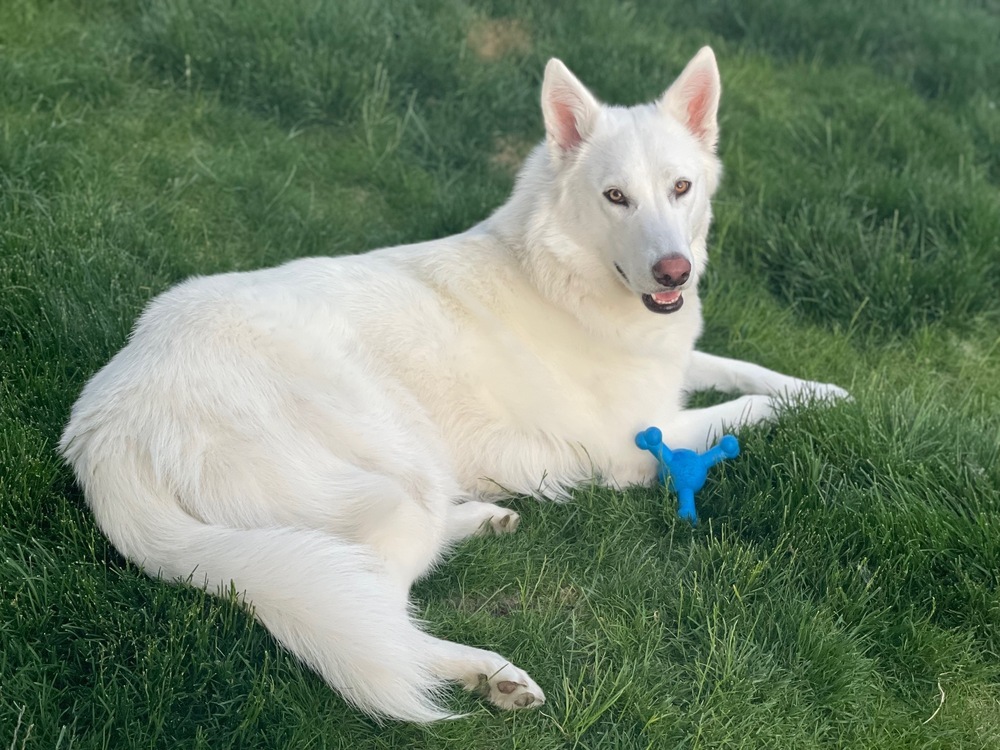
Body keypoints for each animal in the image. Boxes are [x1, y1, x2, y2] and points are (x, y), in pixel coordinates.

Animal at [58, 48, 848, 724]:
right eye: (615, 197)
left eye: (681, 188)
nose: (674, 273)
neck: (559, 274)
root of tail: (108, 421)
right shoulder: (638, 445)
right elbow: (744, 407)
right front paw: (811, 410)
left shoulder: (675, 365)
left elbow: (743, 370)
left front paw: (829, 392)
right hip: (399, 467)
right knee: (375, 609)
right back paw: (483, 670)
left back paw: (483, 519)